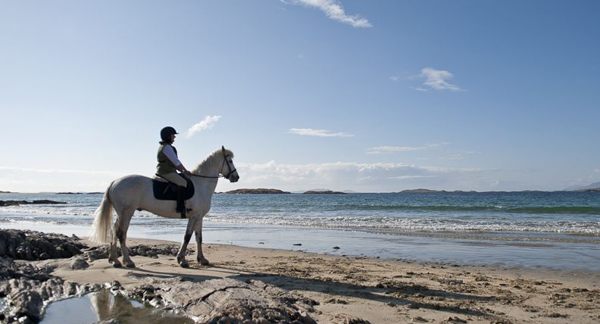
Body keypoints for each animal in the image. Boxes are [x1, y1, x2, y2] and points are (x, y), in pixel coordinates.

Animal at [89, 147, 239, 268]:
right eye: (230, 161)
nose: (236, 177)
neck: (201, 184)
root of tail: (114, 182)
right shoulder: (193, 217)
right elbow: (187, 237)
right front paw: (181, 260)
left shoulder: (199, 217)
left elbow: (199, 238)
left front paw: (202, 259)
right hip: (127, 213)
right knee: (121, 234)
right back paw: (128, 261)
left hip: (121, 214)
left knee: (114, 232)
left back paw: (114, 260)